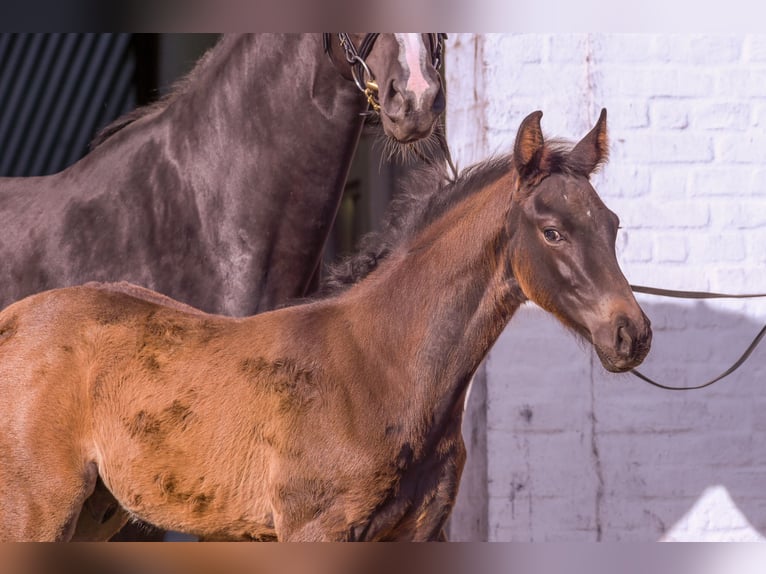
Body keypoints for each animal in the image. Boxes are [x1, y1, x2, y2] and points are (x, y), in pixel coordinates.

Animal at [0, 109, 652, 544]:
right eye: (552, 231)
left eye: (613, 224)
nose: (632, 335)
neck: (383, 368)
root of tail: (13, 320)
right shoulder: (316, 531)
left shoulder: (422, 533)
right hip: (37, 511)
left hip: (95, 512)